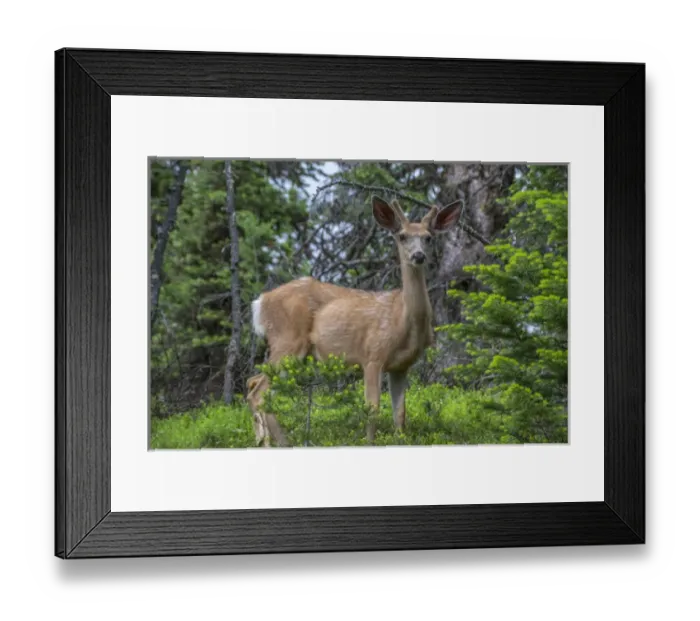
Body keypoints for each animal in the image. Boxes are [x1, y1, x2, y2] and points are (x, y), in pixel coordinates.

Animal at [245, 195, 463, 447]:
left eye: (428, 237)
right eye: (402, 236)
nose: (418, 256)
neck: (403, 319)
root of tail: (260, 302)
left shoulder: (401, 366)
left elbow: (400, 414)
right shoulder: (372, 354)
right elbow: (372, 408)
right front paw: (369, 443)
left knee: (256, 384)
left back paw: (275, 443)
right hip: (287, 341)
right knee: (258, 392)